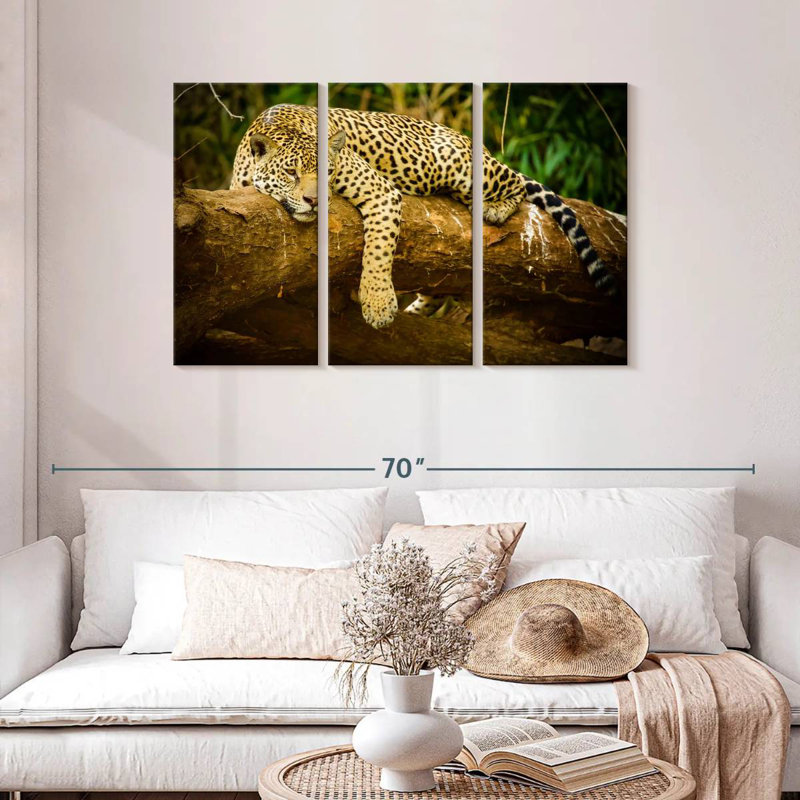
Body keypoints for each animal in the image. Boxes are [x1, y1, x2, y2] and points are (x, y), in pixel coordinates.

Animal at [231, 104, 617, 329]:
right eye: (291, 173)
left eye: (327, 172)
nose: (314, 200)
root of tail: (472, 140)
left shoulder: (381, 191)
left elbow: (378, 251)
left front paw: (378, 305)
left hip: (462, 166)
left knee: (516, 183)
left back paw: (493, 208)